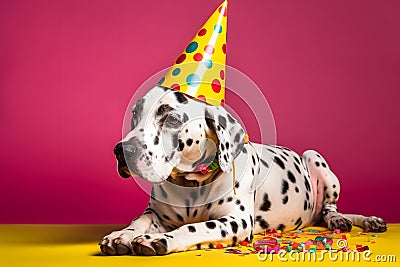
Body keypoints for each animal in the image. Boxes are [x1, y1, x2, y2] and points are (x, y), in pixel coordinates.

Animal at [98, 87, 386, 256]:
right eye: (135, 114)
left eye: (171, 118)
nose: (121, 150)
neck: (192, 186)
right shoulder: (156, 214)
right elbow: (139, 221)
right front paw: (121, 234)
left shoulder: (236, 221)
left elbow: (194, 228)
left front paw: (158, 239)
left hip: (315, 158)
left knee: (330, 209)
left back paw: (349, 219)